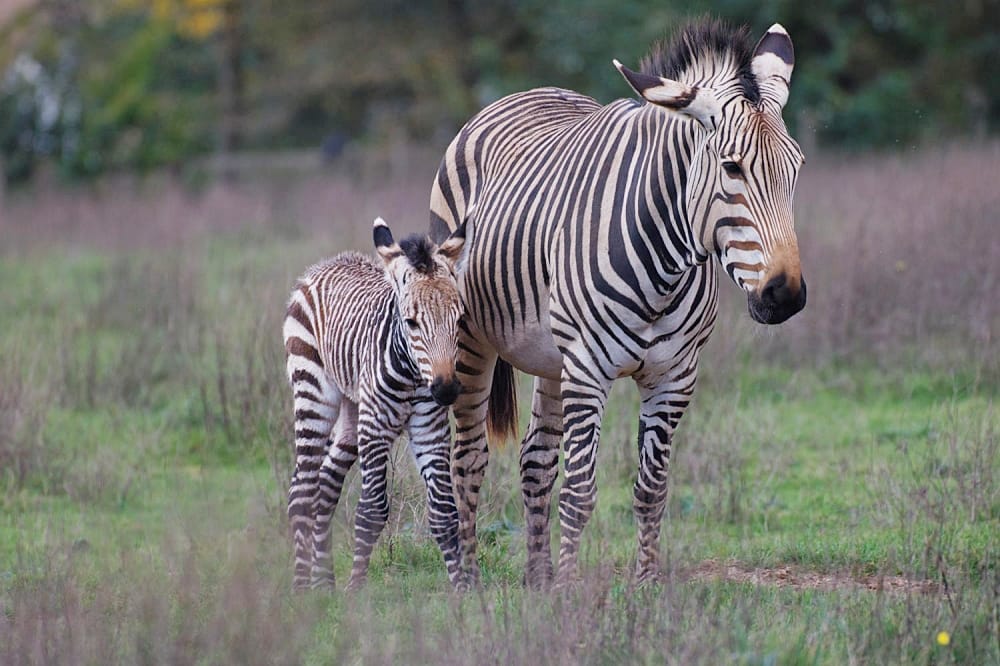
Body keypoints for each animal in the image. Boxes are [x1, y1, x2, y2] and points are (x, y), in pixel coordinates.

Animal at [283, 217, 469, 591]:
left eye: (459, 320)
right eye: (411, 322)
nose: (445, 391)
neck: (413, 374)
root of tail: (331, 261)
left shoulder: (430, 429)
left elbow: (444, 511)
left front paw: (466, 592)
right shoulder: (376, 429)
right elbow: (371, 511)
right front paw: (356, 590)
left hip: (353, 414)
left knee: (325, 488)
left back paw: (324, 584)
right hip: (314, 392)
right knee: (302, 491)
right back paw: (301, 588)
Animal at [429, 19, 807, 588]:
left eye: (797, 168)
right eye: (733, 168)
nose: (785, 296)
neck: (665, 269)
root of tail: (528, 91)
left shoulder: (675, 378)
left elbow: (651, 489)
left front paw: (643, 585)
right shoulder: (588, 368)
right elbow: (581, 492)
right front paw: (568, 592)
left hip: (551, 358)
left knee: (536, 460)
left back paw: (537, 578)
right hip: (472, 341)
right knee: (468, 458)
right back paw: (468, 582)